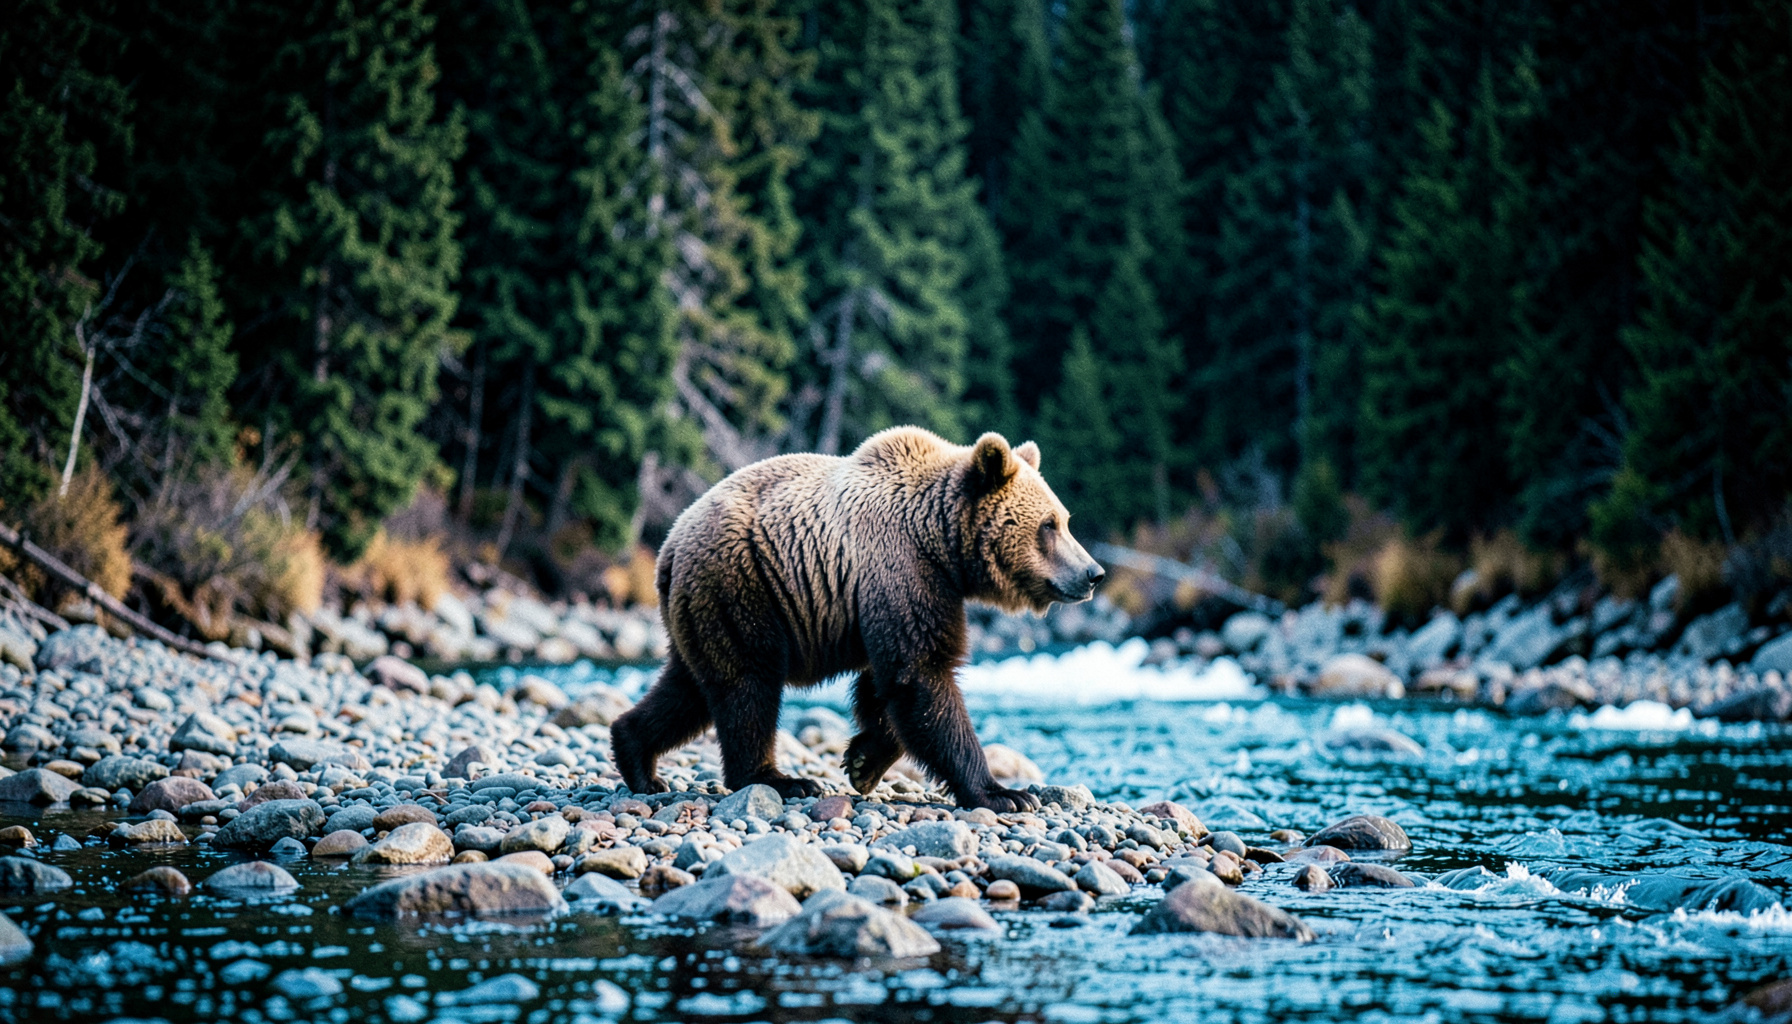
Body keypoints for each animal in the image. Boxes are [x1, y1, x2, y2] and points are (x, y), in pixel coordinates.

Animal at [609, 427, 1105, 812]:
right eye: (1048, 525)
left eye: (1064, 519)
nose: (1093, 573)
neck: (940, 543)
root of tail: (669, 548)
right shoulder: (901, 569)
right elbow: (921, 676)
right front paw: (1005, 794)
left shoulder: (878, 596)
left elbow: (888, 684)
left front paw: (864, 761)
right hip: (742, 586)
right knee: (748, 685)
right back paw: (778, 779)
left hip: (702, 608)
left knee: (690, 687)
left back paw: (637, 758)